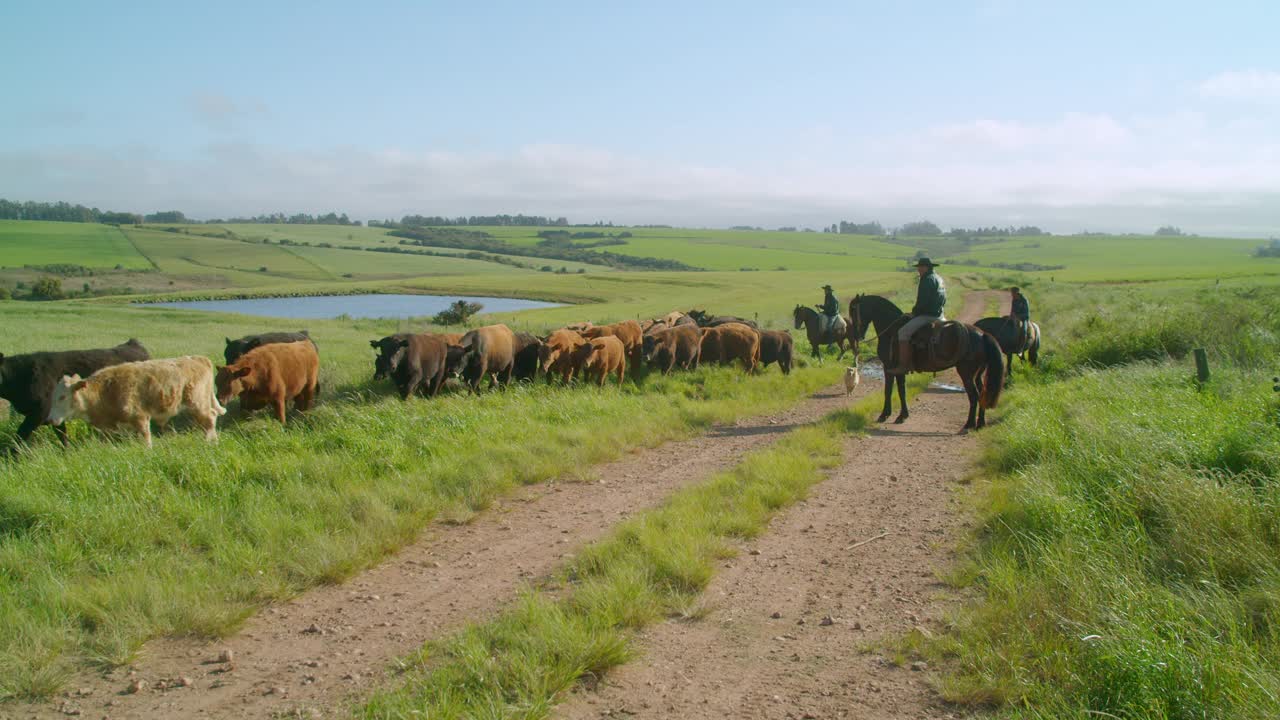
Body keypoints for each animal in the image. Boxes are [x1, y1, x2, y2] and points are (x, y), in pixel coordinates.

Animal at [855, 293, 1003, 427]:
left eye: (853, 310)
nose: (858, 336)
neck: (891, 331)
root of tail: (982, 334)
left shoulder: (889, 368)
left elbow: (890, 390)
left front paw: (886, 415)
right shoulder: (897, 370)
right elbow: (901, 390)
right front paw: (902, 415)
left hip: (966, 374)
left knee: (974, 396)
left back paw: (969, 424)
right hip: (977, 374)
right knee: (983, 393)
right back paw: (980, 423)